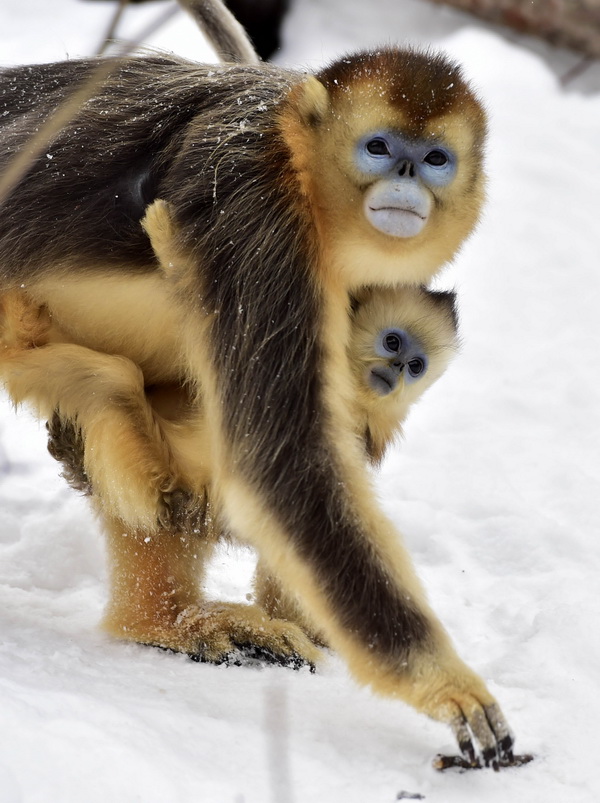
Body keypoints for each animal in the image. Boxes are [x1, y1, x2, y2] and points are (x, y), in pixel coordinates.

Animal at [0, 36, 516, 768]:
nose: (409, 176)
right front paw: (449, 685)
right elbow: (286, 470)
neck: (293, 158)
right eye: (379, 147)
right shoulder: (255, 217)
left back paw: (166, 620)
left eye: (437, 158)